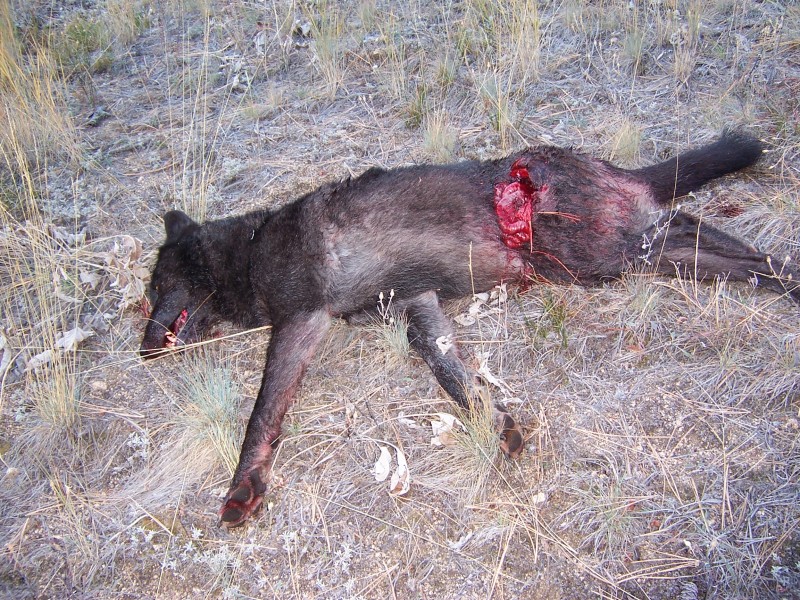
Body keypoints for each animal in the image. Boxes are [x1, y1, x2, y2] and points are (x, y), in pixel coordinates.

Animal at [140, 131, 798, 527]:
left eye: (155, 289)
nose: (143, 350)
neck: (250, 250)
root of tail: (612, 168)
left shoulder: (299, 323)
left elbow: (261, 414)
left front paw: (242, 488)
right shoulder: (419, 304)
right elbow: (449, 370)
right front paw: (498, 425)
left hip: (599, 256)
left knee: (696, 233)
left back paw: (782, 274)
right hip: (620, 251)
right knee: (713, 242)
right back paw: (784, 276)